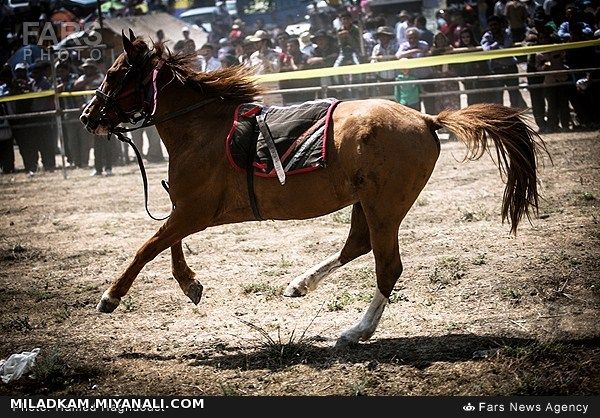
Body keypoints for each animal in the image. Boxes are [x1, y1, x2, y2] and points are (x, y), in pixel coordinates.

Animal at [81, 32, 548, 346]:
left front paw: (110, 297)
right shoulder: (189, 209)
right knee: (357, 245)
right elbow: (167, 243)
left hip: (384, 206)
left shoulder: (196, 210)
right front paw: (190, 284)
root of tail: (427, 119)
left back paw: (356, 330)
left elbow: (148, 247)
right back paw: (301, 284)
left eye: (115, 74)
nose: (87, 116)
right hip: (368, 203)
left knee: (387, 266)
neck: (203, 129)